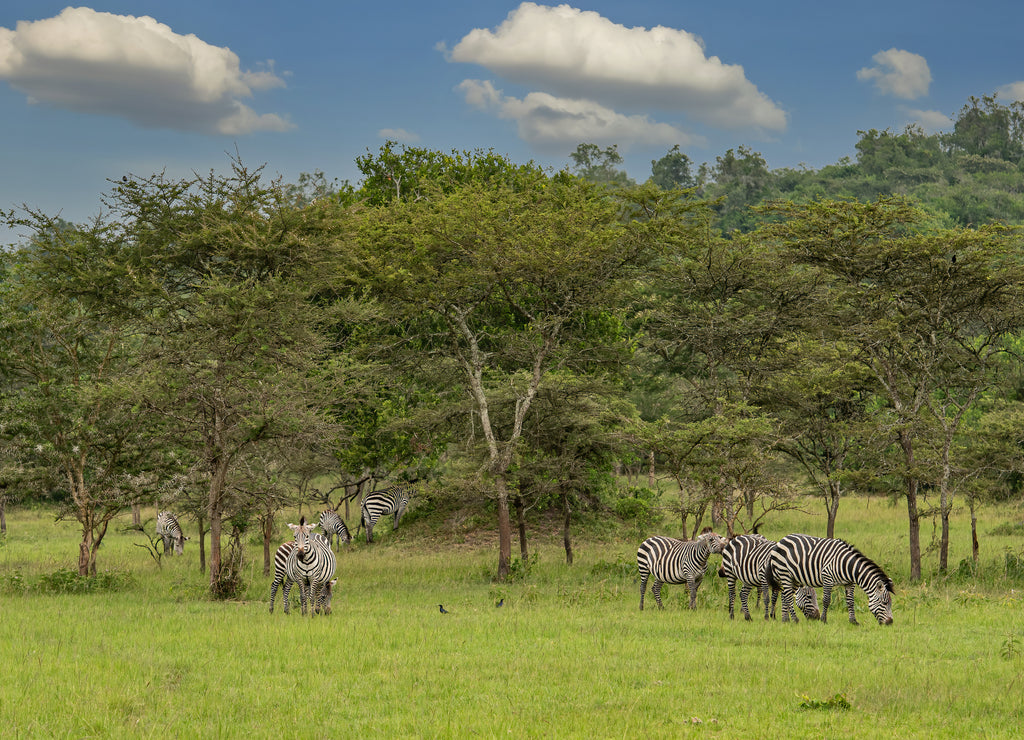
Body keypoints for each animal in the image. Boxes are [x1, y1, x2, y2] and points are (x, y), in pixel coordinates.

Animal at [766, 533, 894, 625]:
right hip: (784, 574)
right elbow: (827, 600)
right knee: (787, 596)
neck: (848, 565)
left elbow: (850, 601)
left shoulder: (850, 583)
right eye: (885, 602)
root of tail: (781, 540)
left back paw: (785, 619)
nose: (890, 623)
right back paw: (795, 619)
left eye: (890, 603)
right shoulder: (827, 577)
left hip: (794, 578)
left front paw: (853, 621)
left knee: (784, 595)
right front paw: (823, 620)